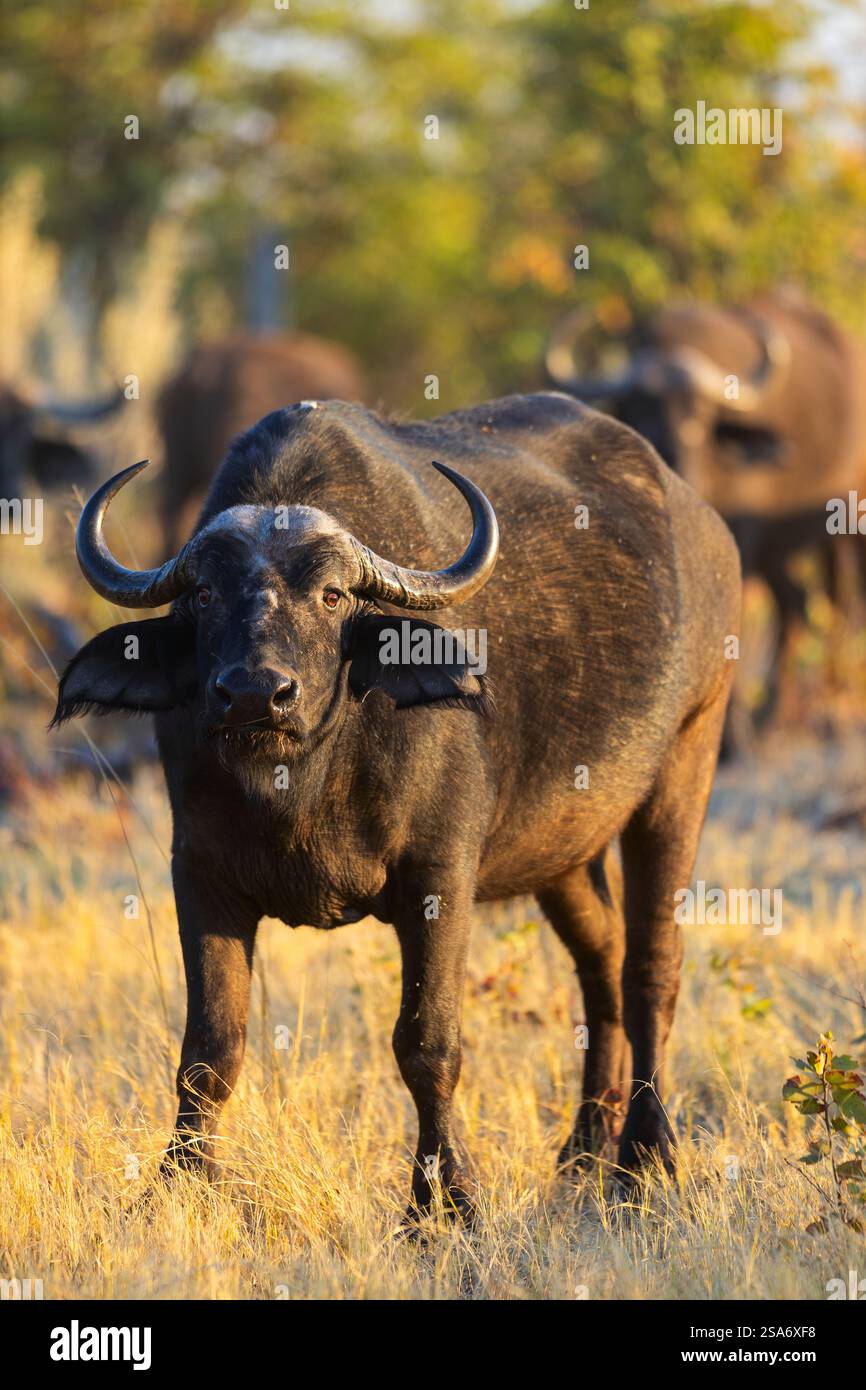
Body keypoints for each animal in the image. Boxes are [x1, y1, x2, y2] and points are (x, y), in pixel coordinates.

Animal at [53, 392, 739, 1219]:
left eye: (332, 595)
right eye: (206, 594)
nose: (255, 693)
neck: (303, 781)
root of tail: (705, 525)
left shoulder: (440, 877)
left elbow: (427, 1044)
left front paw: (442, 1204)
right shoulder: (200, 876)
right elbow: (210, 1049)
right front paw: (176, 1187)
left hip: (685, 765)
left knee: (650, 968)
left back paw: (644, 1155)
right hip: (564, 848)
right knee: (601, 959)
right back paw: (582, 1151)